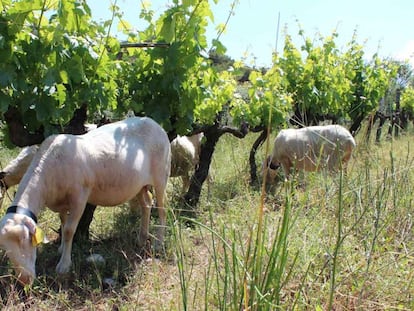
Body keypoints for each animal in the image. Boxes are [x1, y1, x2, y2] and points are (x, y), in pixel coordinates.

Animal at [0, 117, 171, 286]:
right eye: (5, 248)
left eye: (25, 240)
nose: (24, 280)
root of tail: (154, 123)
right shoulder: (61, 201)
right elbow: (63, 223)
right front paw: (61, 249)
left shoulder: (79, 197)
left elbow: (69, 230)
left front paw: (64, 265)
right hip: (139, 185)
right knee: (146, 204)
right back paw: (142, 238)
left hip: (161, 175)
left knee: (162, 209)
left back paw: (159, 243)